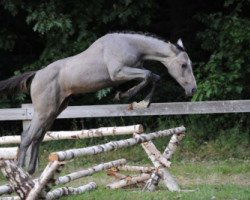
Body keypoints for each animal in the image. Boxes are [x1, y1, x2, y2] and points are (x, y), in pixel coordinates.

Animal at [0, 32, 196, 173]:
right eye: (183, 65)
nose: (192, 90)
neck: (130, 44)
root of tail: (36, 75)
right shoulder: (118, 73)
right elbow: (149, 76)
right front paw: (126, 97)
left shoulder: (133, 70)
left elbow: (154, 77)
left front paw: (139, 102)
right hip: (44, 111)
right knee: (27, 137)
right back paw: (20, 172)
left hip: (55, 110)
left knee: (38, 137)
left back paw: (32, 172)